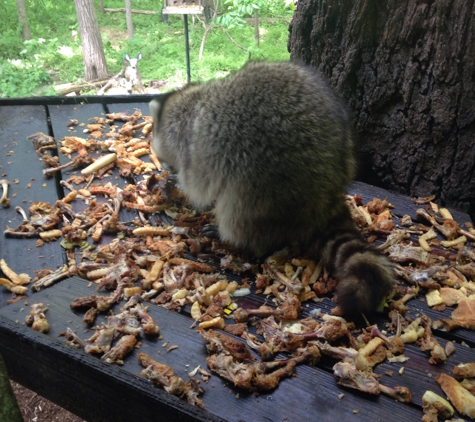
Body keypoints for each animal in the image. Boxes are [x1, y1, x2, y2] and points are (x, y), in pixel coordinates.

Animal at [151, 61, 396, 314]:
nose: (165, 169)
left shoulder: (196, 151)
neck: (188, 100)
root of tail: (326, 196)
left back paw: (230, 235)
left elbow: (199, 187)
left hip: (265, 183)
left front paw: (181, 185)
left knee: (239, 213)